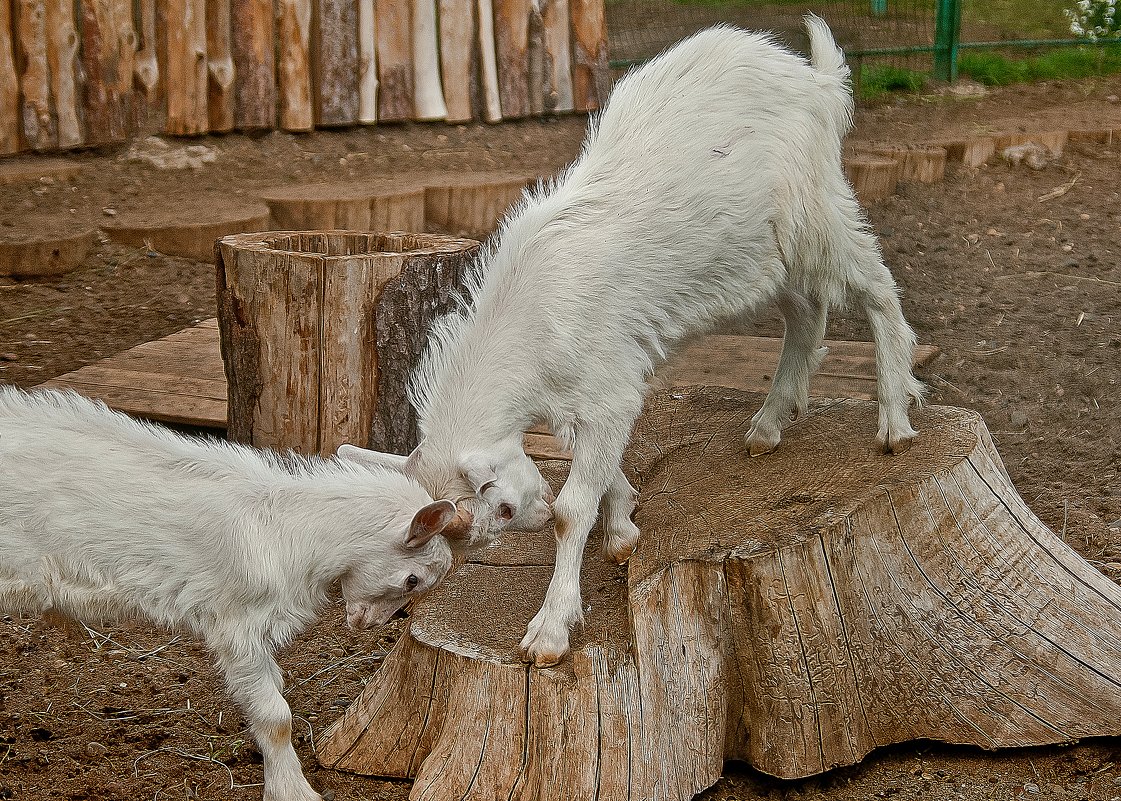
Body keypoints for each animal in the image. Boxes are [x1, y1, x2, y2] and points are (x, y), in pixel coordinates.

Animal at [0, 385, 464, 797]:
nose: (370, 623)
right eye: (412, 579)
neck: (289, 531)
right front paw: (293, 791)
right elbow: (277, 716)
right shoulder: (237, 623)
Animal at [340, 15, 919, 667]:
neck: (533, 314)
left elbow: (572, 510)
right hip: (767, 252)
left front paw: (550, 630)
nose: (368, 621)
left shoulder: (607, 385)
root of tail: (812, 77)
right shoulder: (584, 399)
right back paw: (769, 425)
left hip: (815, 209)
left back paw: (894, 420)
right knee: (806, 313)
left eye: (502, 510)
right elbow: (602, 468)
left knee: (877, 288)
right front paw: (623, 528)